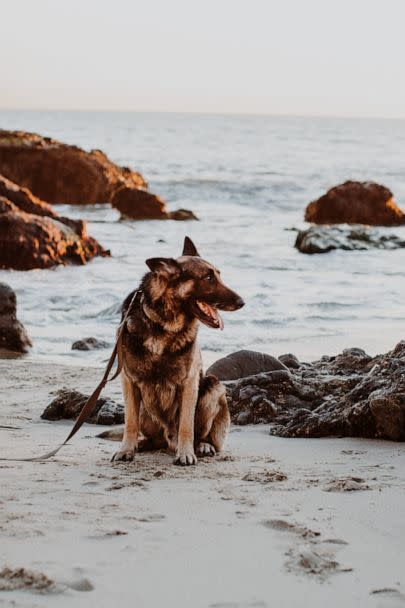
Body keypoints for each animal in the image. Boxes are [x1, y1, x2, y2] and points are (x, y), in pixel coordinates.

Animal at [109, 238, 243, 466]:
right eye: (208, 277)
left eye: (218, 274)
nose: (242, 302)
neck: (164, 325)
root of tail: (168, 439)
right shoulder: (129, 381)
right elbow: (130, 422)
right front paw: (126, 449)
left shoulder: (189, 383)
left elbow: (186, 425)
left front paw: (186, 453)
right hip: (146, 410)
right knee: (153, 437)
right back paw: (143, 444)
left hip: (214, 388)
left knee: (205, 436)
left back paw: (203, 446)